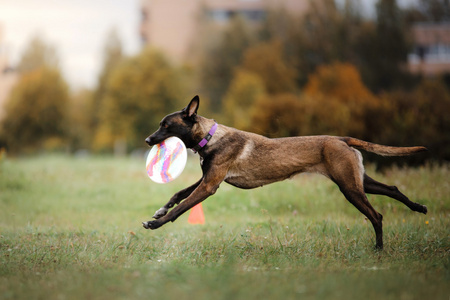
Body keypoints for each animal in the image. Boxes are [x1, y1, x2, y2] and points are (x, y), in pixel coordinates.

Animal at [142, 95, 428, 248]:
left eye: (166, 126)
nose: (147, 140)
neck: (210, 136)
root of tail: (341, 139)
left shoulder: (210, 185)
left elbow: (182, 207)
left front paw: (155, 223)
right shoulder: (207, 178)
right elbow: (178, 194)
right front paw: (159, 211)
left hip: (349, 187)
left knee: (376, 215)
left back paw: (379, 249)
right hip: (358, 180)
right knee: (392, 189)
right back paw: (418, 207)